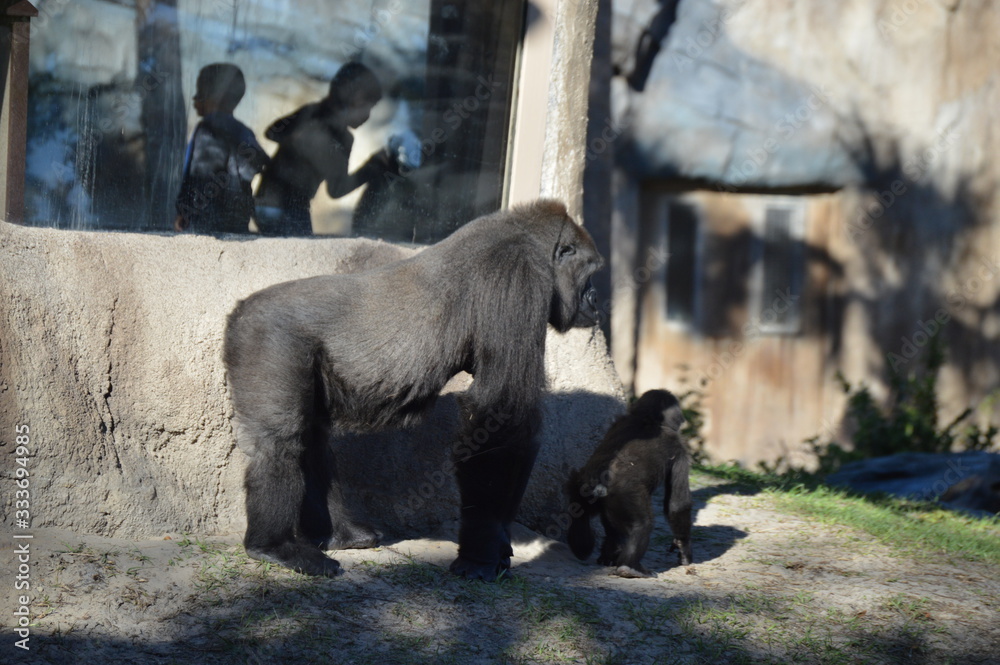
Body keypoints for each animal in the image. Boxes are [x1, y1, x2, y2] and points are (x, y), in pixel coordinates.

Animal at [223, 199, 604, 579]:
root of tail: (238, 310)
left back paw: (339, 535)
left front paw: (497, 545)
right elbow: (502, 414)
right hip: (265, 337)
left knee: (311, 436)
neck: (532, 241)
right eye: (590, 272)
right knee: (280, 440)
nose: (596, 299)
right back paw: (274, 546)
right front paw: (481, 552)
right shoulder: (516, 275)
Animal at [565, 389, 693, 578]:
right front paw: (683, 547)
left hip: (580, 487)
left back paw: (587, 549)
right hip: (623, 495)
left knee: (582, 515)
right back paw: (630, 567)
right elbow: (677, 504)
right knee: (642, 524)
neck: (647, 419)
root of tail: (597, 485)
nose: (682, 419)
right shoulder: (679, 447)